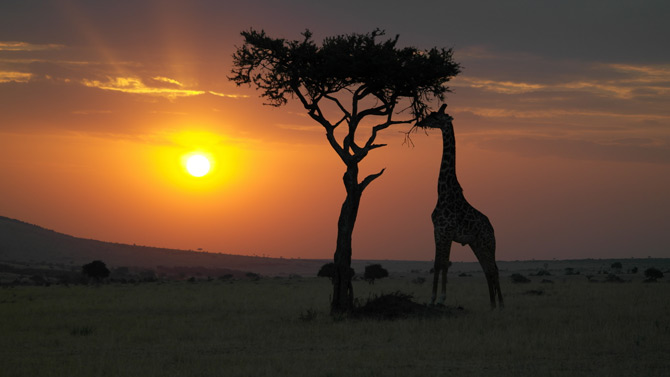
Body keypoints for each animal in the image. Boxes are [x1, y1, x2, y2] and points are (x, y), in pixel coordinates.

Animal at [414, 103, 504, 308]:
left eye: (435, 117)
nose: (420, 122)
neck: (443, 191)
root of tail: (492, 227)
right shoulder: (437, 231)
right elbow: (437, 264)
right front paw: (432, 298)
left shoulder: (447, 232)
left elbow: (444, 264)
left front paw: (441, 298)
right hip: (476, 243)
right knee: (487, 269)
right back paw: (492, 305)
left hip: (488, 242)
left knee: (494, 268)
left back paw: (501, 304)